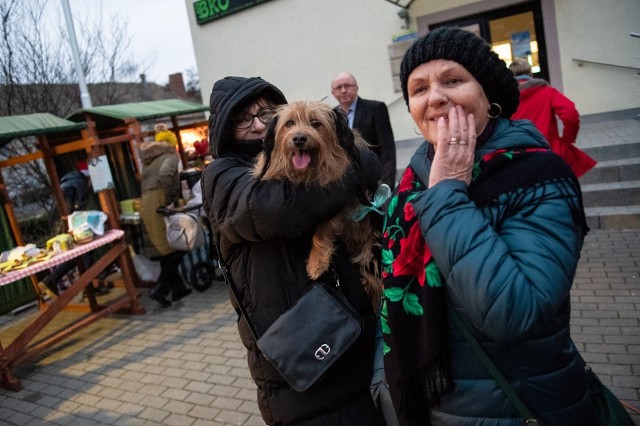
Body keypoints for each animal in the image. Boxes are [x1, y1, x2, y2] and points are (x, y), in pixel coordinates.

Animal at [254, 100, 382, 306]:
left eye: (315, 123)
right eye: (289, 123)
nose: (299, 138)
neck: (307, 173)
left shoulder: (343, 201)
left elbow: (323, 230)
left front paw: (316, 263)